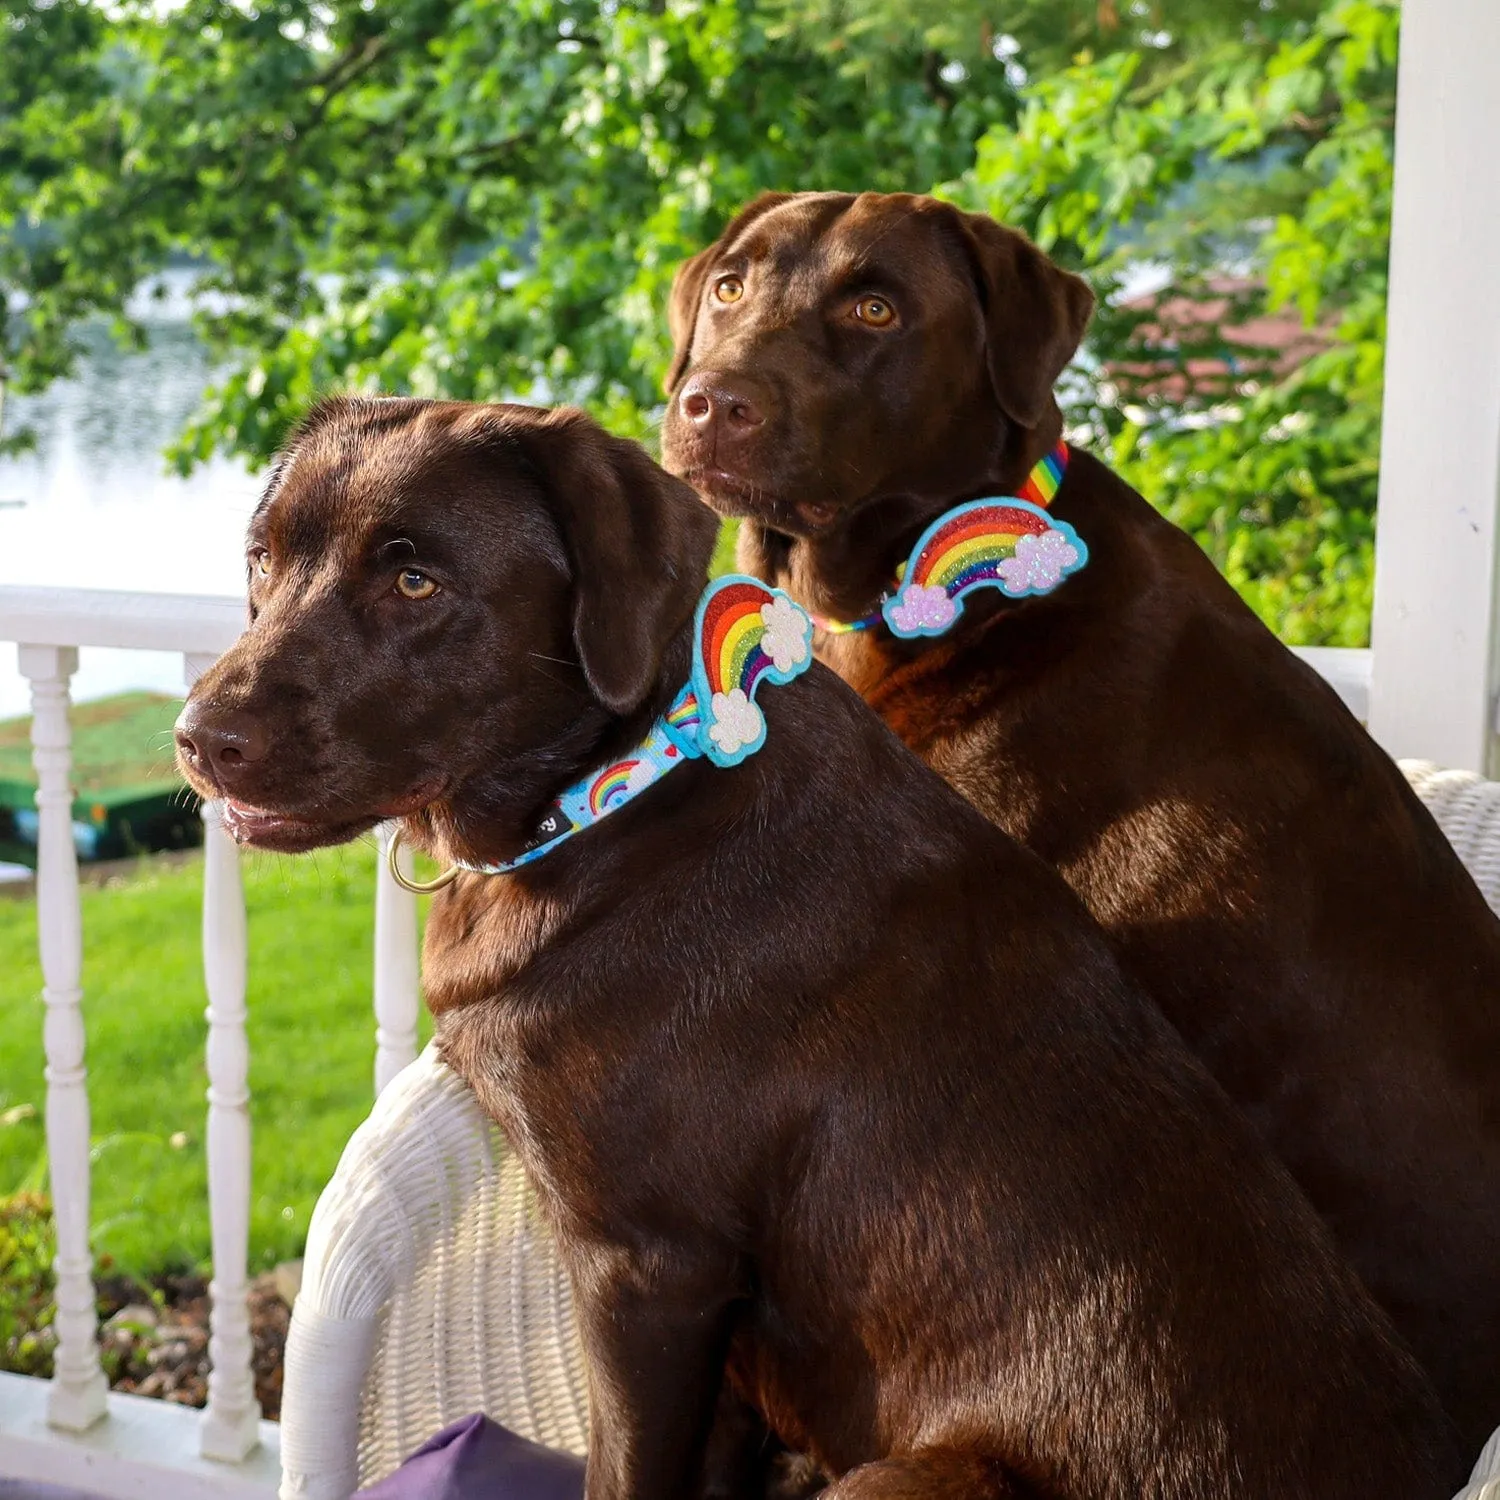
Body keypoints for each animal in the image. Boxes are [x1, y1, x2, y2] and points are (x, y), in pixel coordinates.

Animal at [172, 399, 1452, 1500]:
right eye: (261, 558)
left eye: (414, 578)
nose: (197, 738)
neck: (616, 791)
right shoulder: (710, 1324)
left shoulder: (645, 1270)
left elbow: (624, 1473)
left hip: (908, 1476)